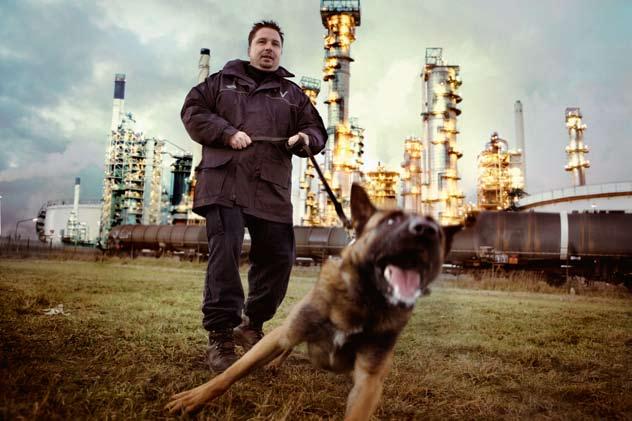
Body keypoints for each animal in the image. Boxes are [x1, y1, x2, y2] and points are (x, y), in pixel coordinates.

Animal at [165, 184, 472, 420]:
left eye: (438, 232)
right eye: (391, 221)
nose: (426, 231)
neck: (362, 301)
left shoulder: (369, 381)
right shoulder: (286, 332)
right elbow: (231, 373)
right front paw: (194, 398)